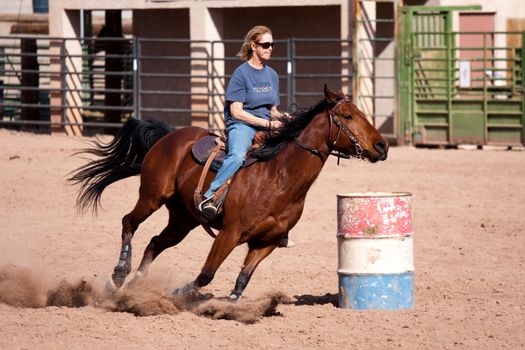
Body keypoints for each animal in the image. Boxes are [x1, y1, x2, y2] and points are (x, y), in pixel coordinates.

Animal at [69, 85, 386, 300]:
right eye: (348, 115)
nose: (382, 146)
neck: (278, 178)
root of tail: (170, 136)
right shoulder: (229, 234)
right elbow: (206, 275)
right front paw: (178, 295)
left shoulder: (266, 243)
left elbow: (241, 281)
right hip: (152, 196)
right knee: (128, 223)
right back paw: (118, 276)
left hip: (183, 219)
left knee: (155, 243)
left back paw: (136, 285)